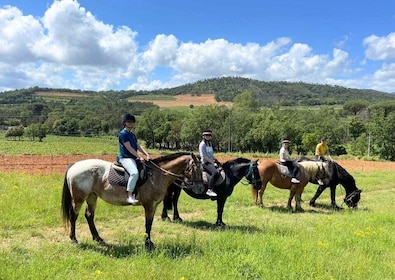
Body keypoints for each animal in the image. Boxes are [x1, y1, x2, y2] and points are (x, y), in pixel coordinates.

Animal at [62, 152, 204, 250]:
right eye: (196, 169)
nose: (200, 188)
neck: (157, 175)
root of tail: (74, 165)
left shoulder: (153, 205)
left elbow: (149, 224)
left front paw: (148, 242)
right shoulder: (149, 205)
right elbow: (148, 224)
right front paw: (148, 244)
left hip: (92, 196)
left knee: (89, 216)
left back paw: (98, 239)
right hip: (79, 198)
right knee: (74, 216)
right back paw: (74, 239)